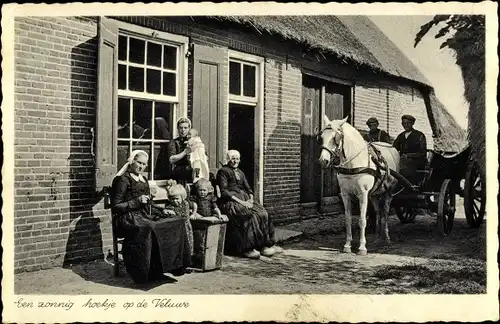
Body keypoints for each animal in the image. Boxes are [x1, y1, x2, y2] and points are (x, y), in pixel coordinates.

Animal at [318, 116, 400, 256]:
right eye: (322, 136)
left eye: (335, 137)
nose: (323, 161)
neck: (353, 163)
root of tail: (392, 148)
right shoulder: (345, 194)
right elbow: (348, 219)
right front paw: (347, 245)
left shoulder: (363, 194)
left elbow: (362, 220)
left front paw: (362, 247)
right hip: (374, 194)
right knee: (378, 212)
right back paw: (377, 237)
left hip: (389, 193)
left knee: (385, 212)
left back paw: (387, 237)